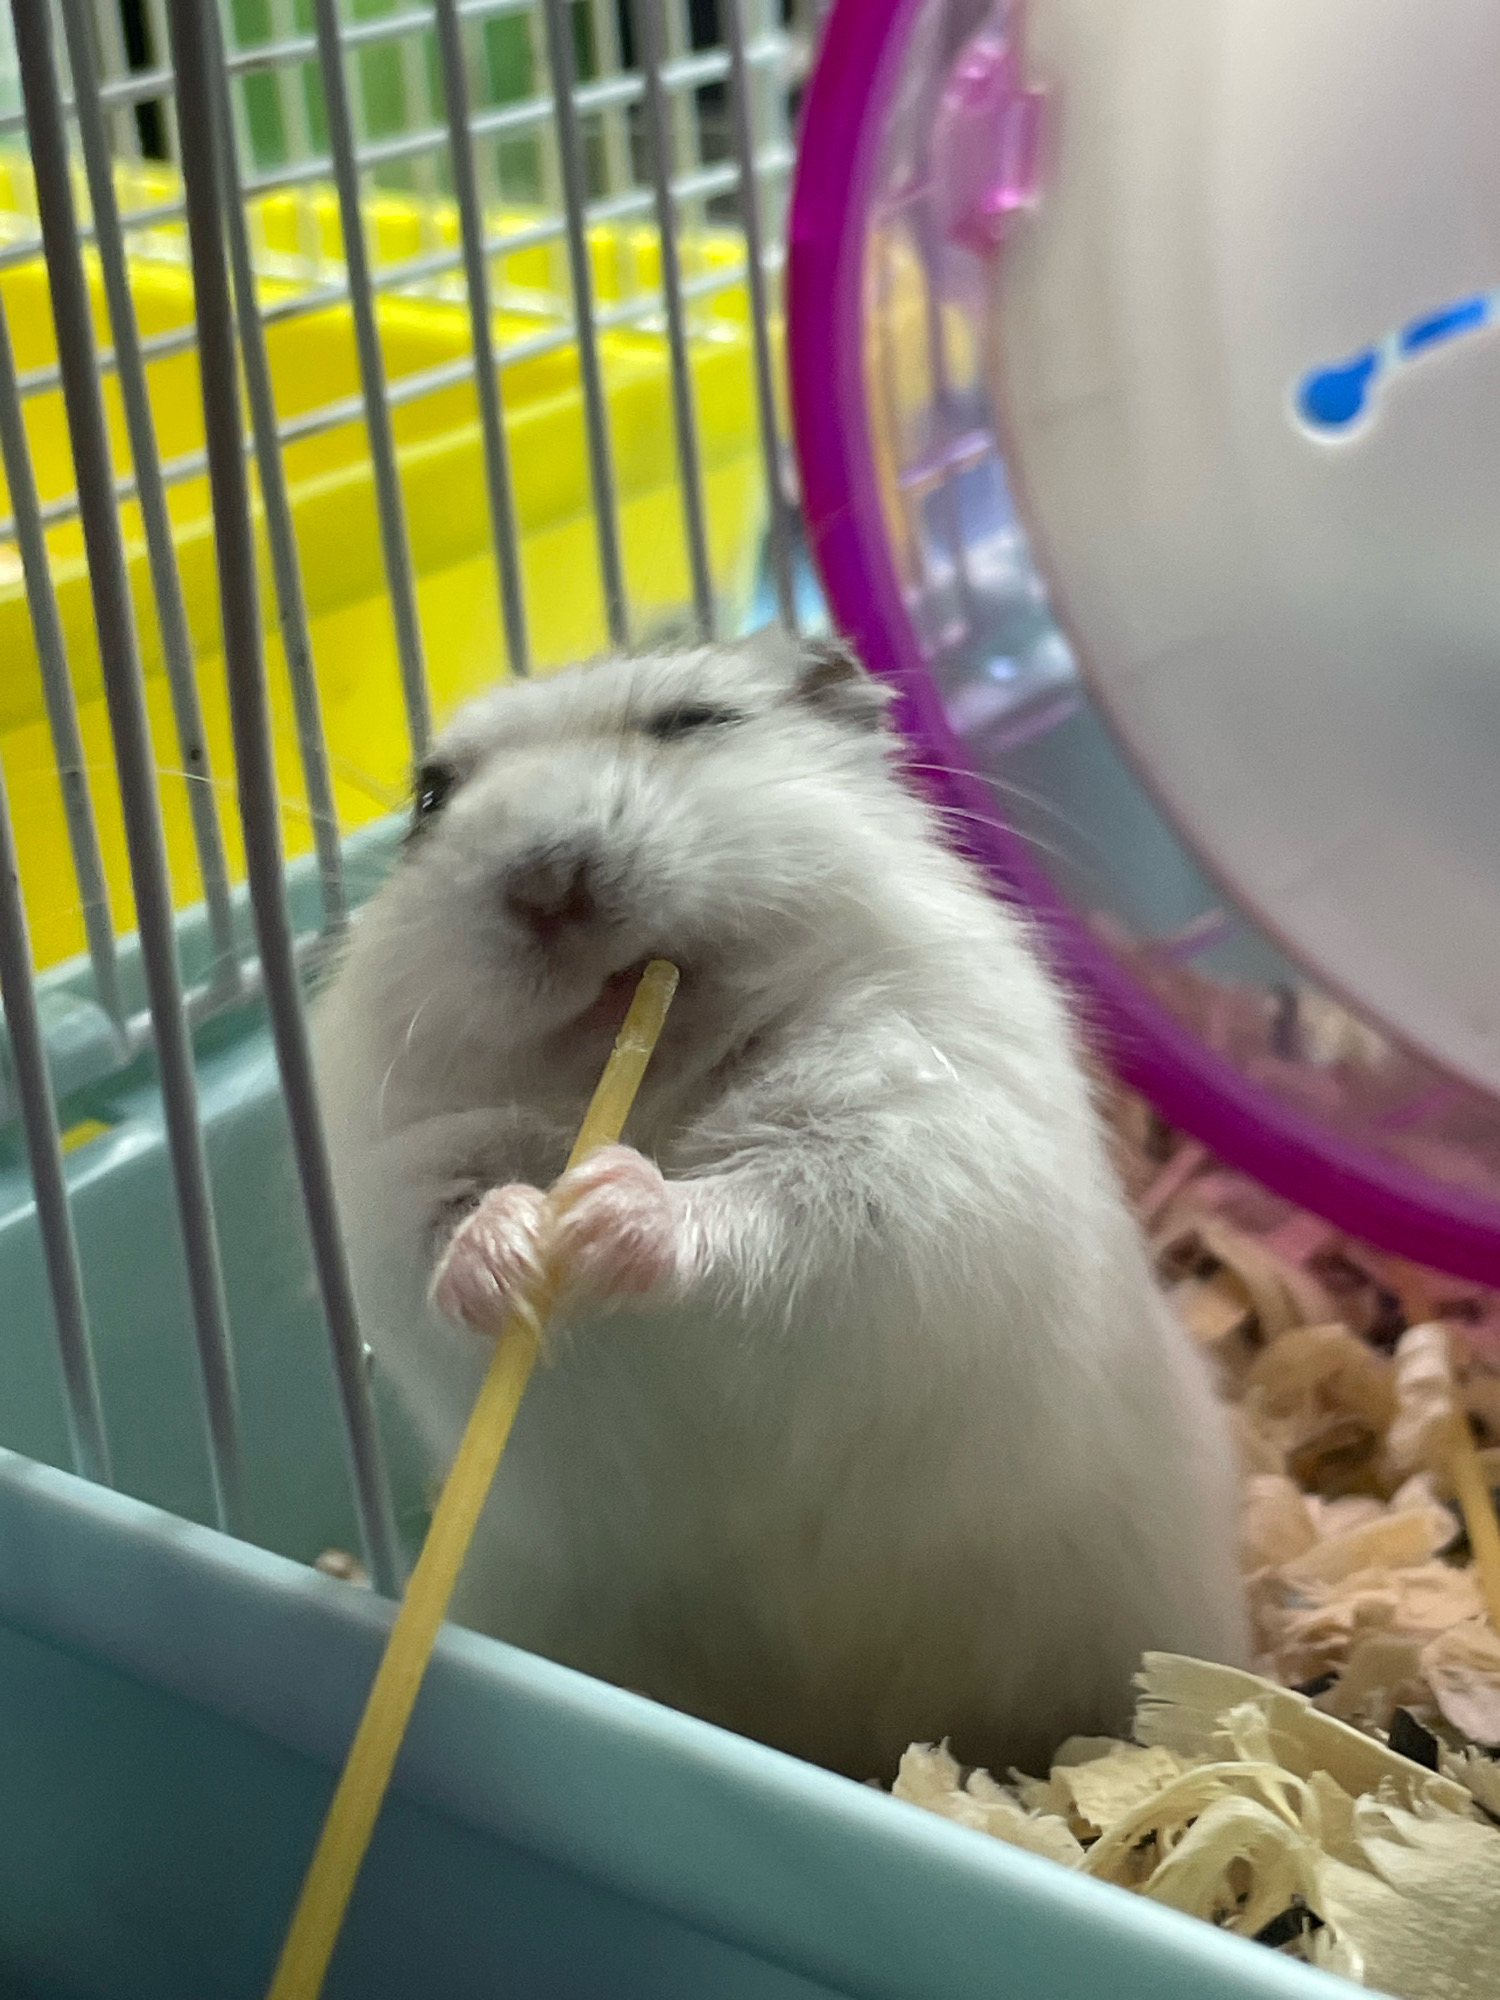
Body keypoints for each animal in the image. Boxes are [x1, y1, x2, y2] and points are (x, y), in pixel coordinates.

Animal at [311, 626, 1248, 1781]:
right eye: (432, 797)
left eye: (694, 721)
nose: (545, 883)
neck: (655, 1075)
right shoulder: (396, 1179)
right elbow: (444, 1237)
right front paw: (521, 1240)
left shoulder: (906, 1148)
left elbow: (765, 1210)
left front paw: (605, 1204)